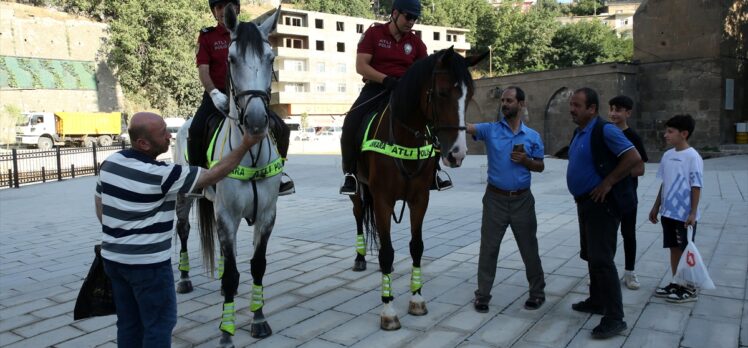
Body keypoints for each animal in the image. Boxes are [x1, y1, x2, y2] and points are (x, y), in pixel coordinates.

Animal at [174, 5, 282, 346]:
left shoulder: (267, 214)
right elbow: (234, 275)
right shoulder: (226, 215)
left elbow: (257, 266)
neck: (250, 153)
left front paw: (259, 319)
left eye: (271, 57)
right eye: (232, 59)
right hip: (184, 197)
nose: (257, 120)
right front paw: (226, 331)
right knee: (183, 230)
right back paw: (184, 279)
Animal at [350, 47, 486, 328]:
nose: (457, 153)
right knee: (358, 214)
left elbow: (416, 246)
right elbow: (387, 252)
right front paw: (388, 310)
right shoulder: (383, 200)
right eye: (443, 93)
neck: (405, 138)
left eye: (469, 96)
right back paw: (359, 258)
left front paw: (417, 299)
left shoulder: (420, 199)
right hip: (358, 189)